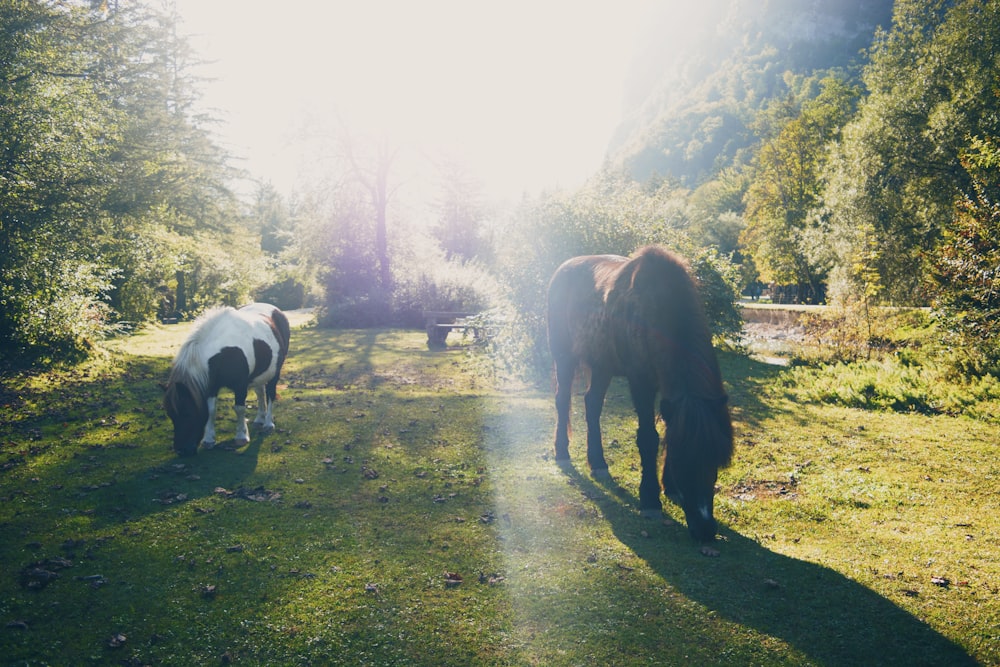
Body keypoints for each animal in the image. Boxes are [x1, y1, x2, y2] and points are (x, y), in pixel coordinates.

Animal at [164, 304, 290, 456]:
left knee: (270, 393)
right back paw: (260, 419)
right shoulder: (211, 385)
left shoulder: (240, 385)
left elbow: (239, 409)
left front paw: (241, 436)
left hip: (274, 372)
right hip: (258, 375)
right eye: (170, 414)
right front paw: (208, 439)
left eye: (187, 413)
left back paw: (268, 423)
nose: (181, 450)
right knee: (260, 393)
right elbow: (211, 409)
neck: (223, 352)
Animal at [548, 245, 736, 544]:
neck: (657, 307)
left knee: (592, 404)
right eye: (684, 461)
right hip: (564, 356)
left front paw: (670, 488)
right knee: (563, 400)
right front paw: (650, 500)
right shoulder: (641, 382)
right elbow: (649, 438)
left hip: (602, 364)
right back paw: (562, 453)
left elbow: (670, 429)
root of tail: (561, 269)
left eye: (714, 461)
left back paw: (598, 463)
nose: (706, 530)